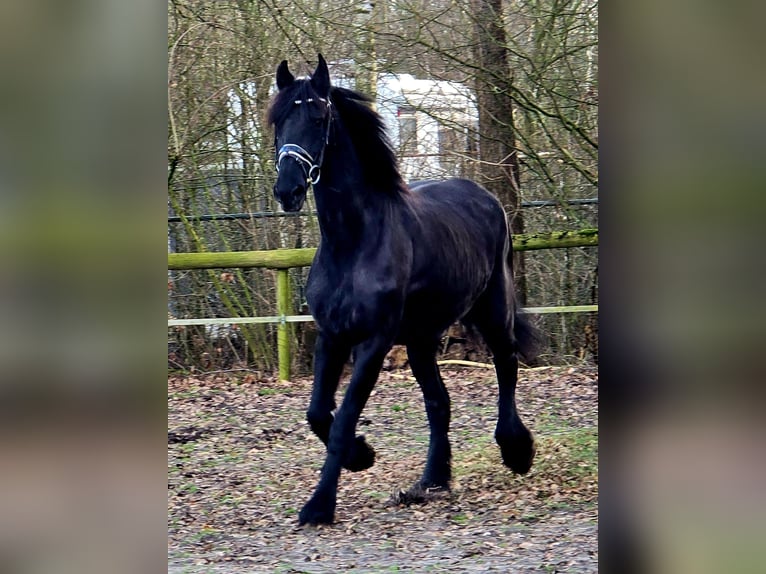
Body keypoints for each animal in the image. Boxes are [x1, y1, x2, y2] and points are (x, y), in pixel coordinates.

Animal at [268, 54, 539, 525]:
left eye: (318, 117)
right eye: (279, 120)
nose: (288, 190)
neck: (353, 241)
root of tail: (483, 195)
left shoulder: (373, 342)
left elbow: (343, 418)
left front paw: (320, 504)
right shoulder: (332, 335)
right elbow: (318, 413)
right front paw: (362, 456)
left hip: (492, 310)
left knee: (506, 365)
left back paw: (516, 451)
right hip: (421, 338)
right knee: (439, 401)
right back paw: (431, 480)